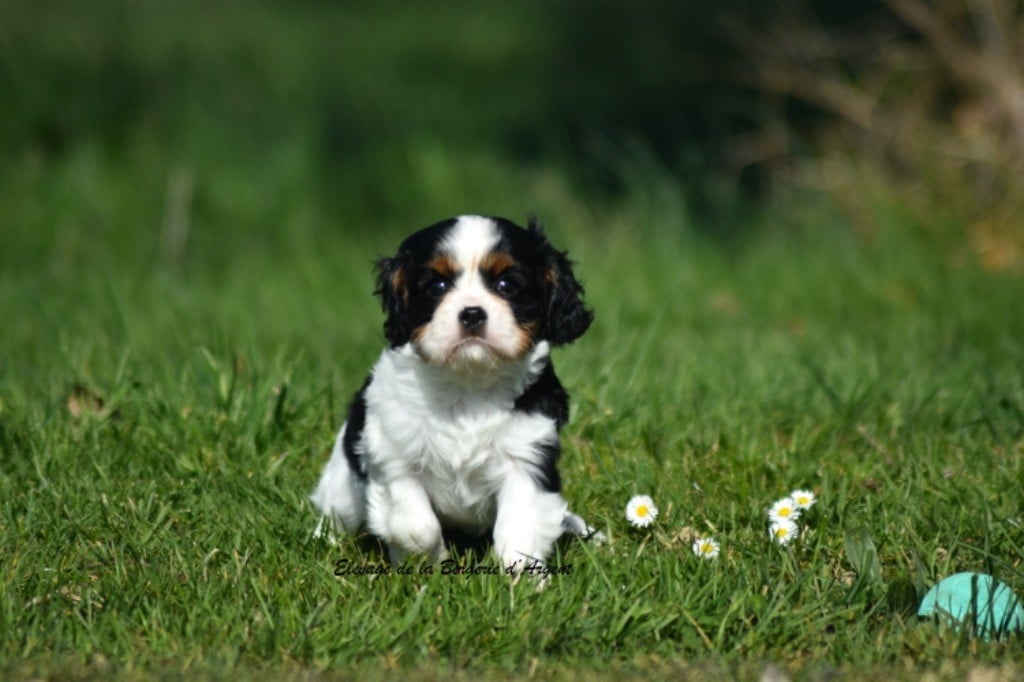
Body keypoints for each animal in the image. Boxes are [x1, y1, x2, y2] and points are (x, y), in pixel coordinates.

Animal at [311, 212, 598, 569]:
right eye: (437, 286)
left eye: (507, 285)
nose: (472, 313)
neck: (468, 381)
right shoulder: (393, 452)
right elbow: (415, 523)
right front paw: (429, 559)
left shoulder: (526, 458)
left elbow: (520, 528)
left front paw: (522, 577)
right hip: (342, 486)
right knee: (337, 514)